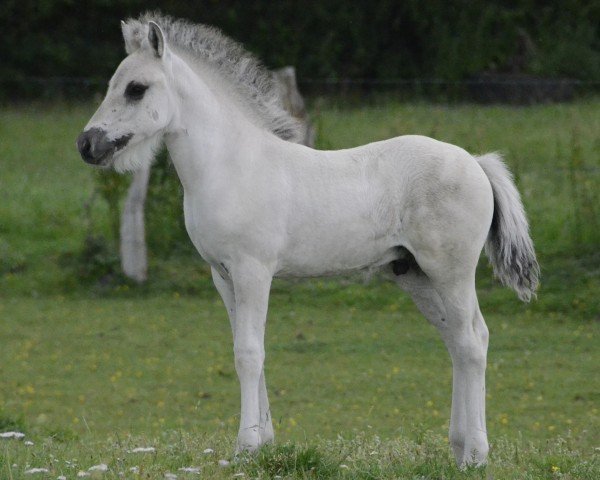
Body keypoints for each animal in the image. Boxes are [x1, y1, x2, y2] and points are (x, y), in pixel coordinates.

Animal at [75, 13, 540, 466]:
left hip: (451, 273)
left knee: (473, 341)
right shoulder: (223, 276)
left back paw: (476, 455)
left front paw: (246, 448)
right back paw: (459, 449)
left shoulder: (253, 271)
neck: (232, 164)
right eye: (113, 84)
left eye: (136, 89)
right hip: (416, 276)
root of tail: (476, 163)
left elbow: (249, 353)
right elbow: (247, 349)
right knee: (457, 343)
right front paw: (265, 442)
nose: (87, 144)